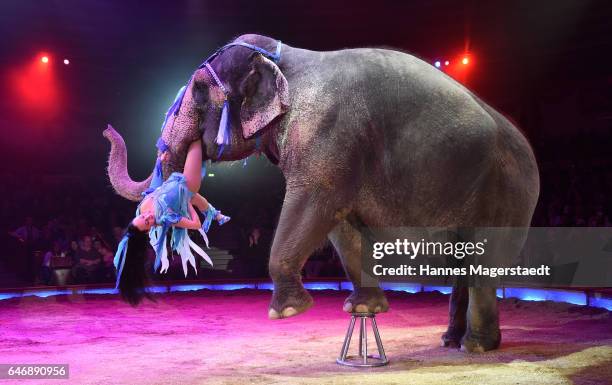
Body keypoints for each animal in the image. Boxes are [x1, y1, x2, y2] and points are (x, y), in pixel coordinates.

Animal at [105, 33, 540, 352]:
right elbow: (340, 225)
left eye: (197, 89)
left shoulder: (326, 135)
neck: (289, 62)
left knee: (483, 263)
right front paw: (363, 307)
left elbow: (312, 204)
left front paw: (287, 313)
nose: (108, 130)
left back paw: (477, 347)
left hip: (505, 194)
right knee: (460, 266)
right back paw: (451, 341)